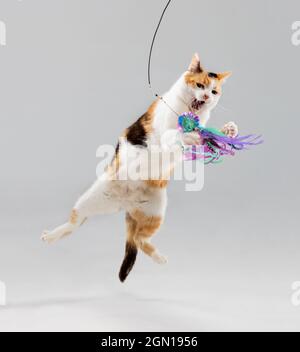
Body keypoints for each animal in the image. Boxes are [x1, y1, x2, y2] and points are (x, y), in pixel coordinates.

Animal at [41, 53, 238, 282]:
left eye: (214, 91)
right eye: (200, 85)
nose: (206, 97)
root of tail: (127, 204)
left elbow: (205, 136)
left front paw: (227, 130)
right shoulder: (164, 130)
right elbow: (174, 133)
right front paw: (190, 133)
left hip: (156, 214)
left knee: (139, 240)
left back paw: (160, 258)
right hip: (87, 200)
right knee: (74, 224)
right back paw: (49, 236)